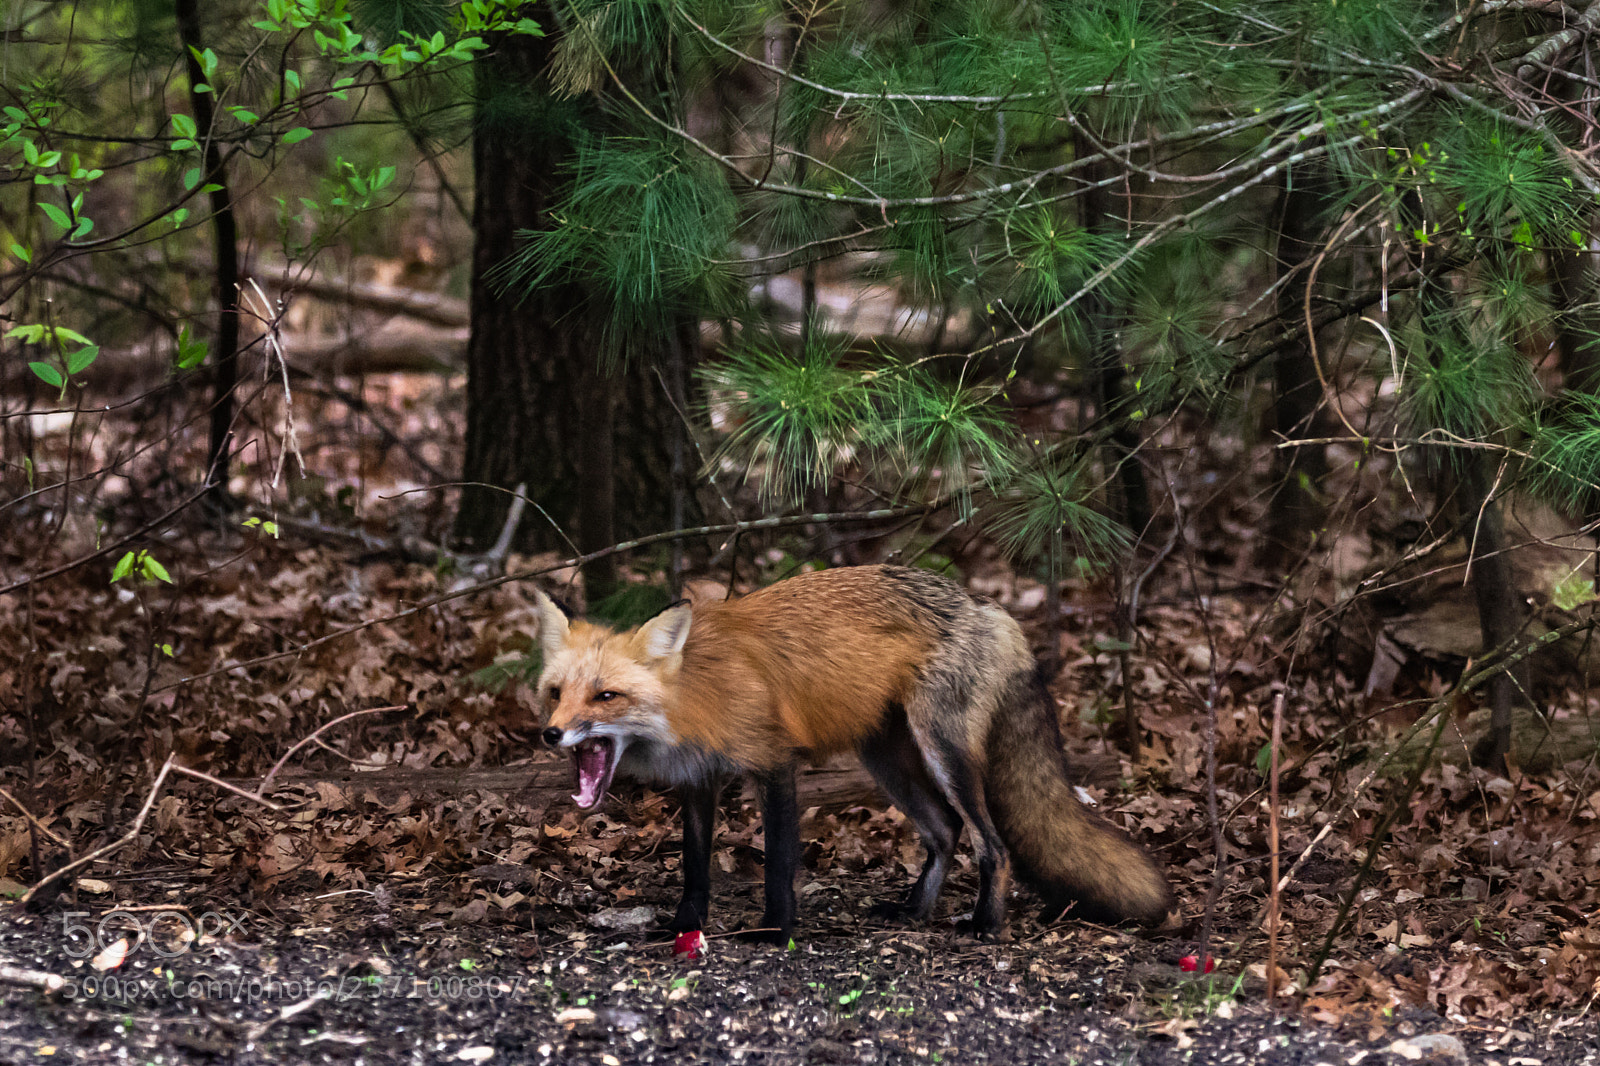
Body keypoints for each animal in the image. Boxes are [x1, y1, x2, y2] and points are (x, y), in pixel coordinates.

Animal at [533, 564, 1172, 943]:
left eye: (606, 696)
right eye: (556, 693)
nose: (551, 735)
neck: (695, 694)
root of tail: (990, 606)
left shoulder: (775, 762)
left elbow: (780, 861)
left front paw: (776, 931)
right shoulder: (698, 781)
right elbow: (694, 866)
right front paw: (682, 926)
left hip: (943, 752)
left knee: (992, 844)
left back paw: (984, 925)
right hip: (886, 759)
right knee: (946, 833)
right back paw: (915, 913)